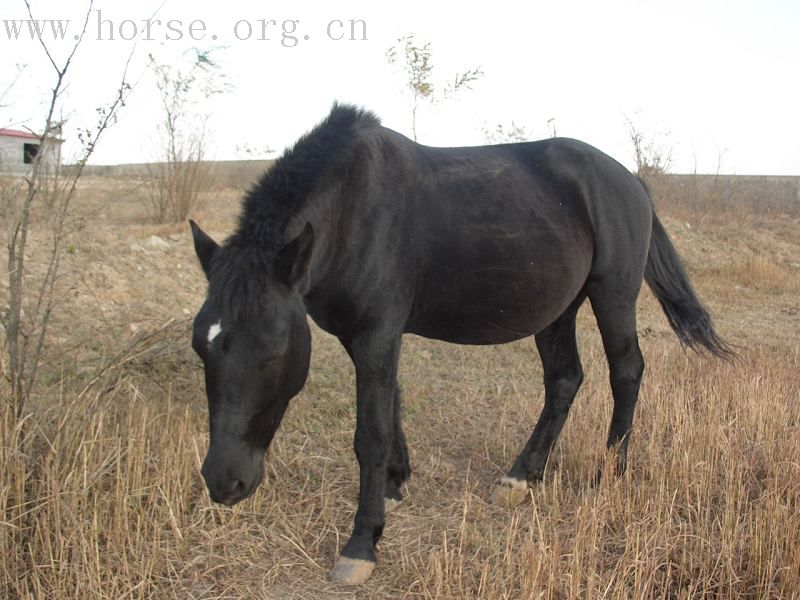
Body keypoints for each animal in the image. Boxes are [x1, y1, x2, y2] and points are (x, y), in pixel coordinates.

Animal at [189, 102, 732, 580]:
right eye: (200, 347)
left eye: (275, 350)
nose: (223, 481)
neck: (351, 210)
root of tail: (631, 181)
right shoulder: (367, 336)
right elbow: (392, 407)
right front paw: (394, 483)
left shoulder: (375, 334)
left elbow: (370, 434)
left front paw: (362, 544)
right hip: (557, 309)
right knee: (564, 380)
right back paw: (521, 477)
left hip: (613, 295)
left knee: (625, 373)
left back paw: (611, 473)